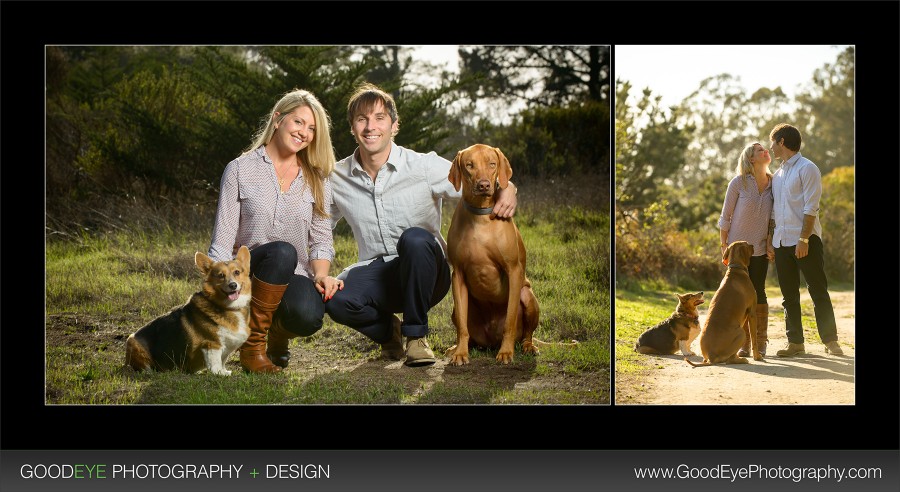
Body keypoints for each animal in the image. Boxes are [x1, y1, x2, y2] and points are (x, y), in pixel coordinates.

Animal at [125, 246, 251, 376]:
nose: (233, 285)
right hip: (133, 343)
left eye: (237, 272)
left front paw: (224, 371)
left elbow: (223, 360)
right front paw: (220, 374)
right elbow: (215, 363)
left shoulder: (226, 348)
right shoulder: (212, 344)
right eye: (221, 275)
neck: (229, 307)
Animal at [446, 143, 572, 366]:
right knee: (466, 328)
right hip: (459, 310)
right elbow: (462, 326)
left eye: (492, 164)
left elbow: (510, 319)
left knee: (526, 334)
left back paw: (528, 346)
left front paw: (506, 352)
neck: (481, 216)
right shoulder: (458, 275)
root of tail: (490, 342)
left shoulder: (513, 271)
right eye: (469, 165)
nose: (484, 185)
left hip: (528, 296)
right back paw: (459, 347)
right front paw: (460, 353)